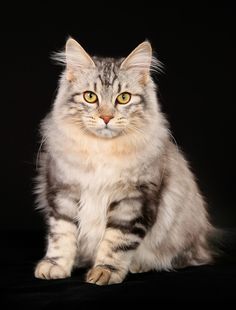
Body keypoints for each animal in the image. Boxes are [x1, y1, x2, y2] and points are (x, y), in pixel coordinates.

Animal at [33, 37, 216, 284]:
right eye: (90, 96)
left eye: (123, 98)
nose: (106, 117)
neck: (102, 150)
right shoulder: (63, 192)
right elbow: (61, 236)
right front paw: (55, 266)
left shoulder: (133, 200)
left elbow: (116, 242)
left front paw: (105, 271)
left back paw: (140, 266)